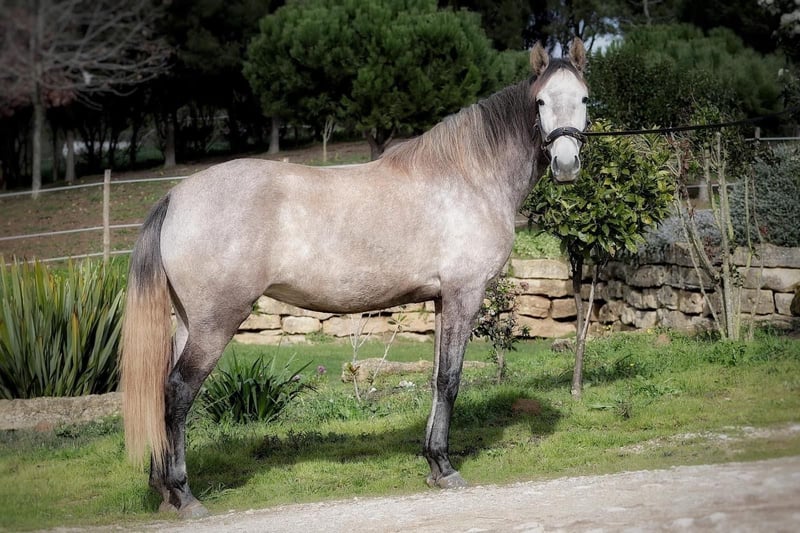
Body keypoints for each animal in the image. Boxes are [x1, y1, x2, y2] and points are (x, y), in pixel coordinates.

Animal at [121, 38, 589, 518]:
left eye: (585, 99)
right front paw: (446, 467)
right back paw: (183, 494)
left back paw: (163, 491)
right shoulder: (465, 294)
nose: (566, 164)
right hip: (216, 321)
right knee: (179, 391)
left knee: (161, 390)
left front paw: (433, 463)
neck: (469, 176)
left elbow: (436, 377)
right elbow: (450, 379)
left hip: (188, 322)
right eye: (540, 101)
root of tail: (177, 196)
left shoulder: (443, 299)